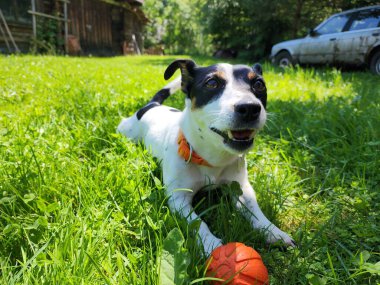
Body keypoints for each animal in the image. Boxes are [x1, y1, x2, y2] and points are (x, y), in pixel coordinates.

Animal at [117, 58, 296, 254]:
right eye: (211, 83)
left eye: (259, 84)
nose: (249, 108)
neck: (212, 160)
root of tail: (152, 106)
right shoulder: (178, 199)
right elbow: (197, 221)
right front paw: (211, 243)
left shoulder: (241, 188)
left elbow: (254, 210)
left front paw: (273, 231)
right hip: (126, 130)